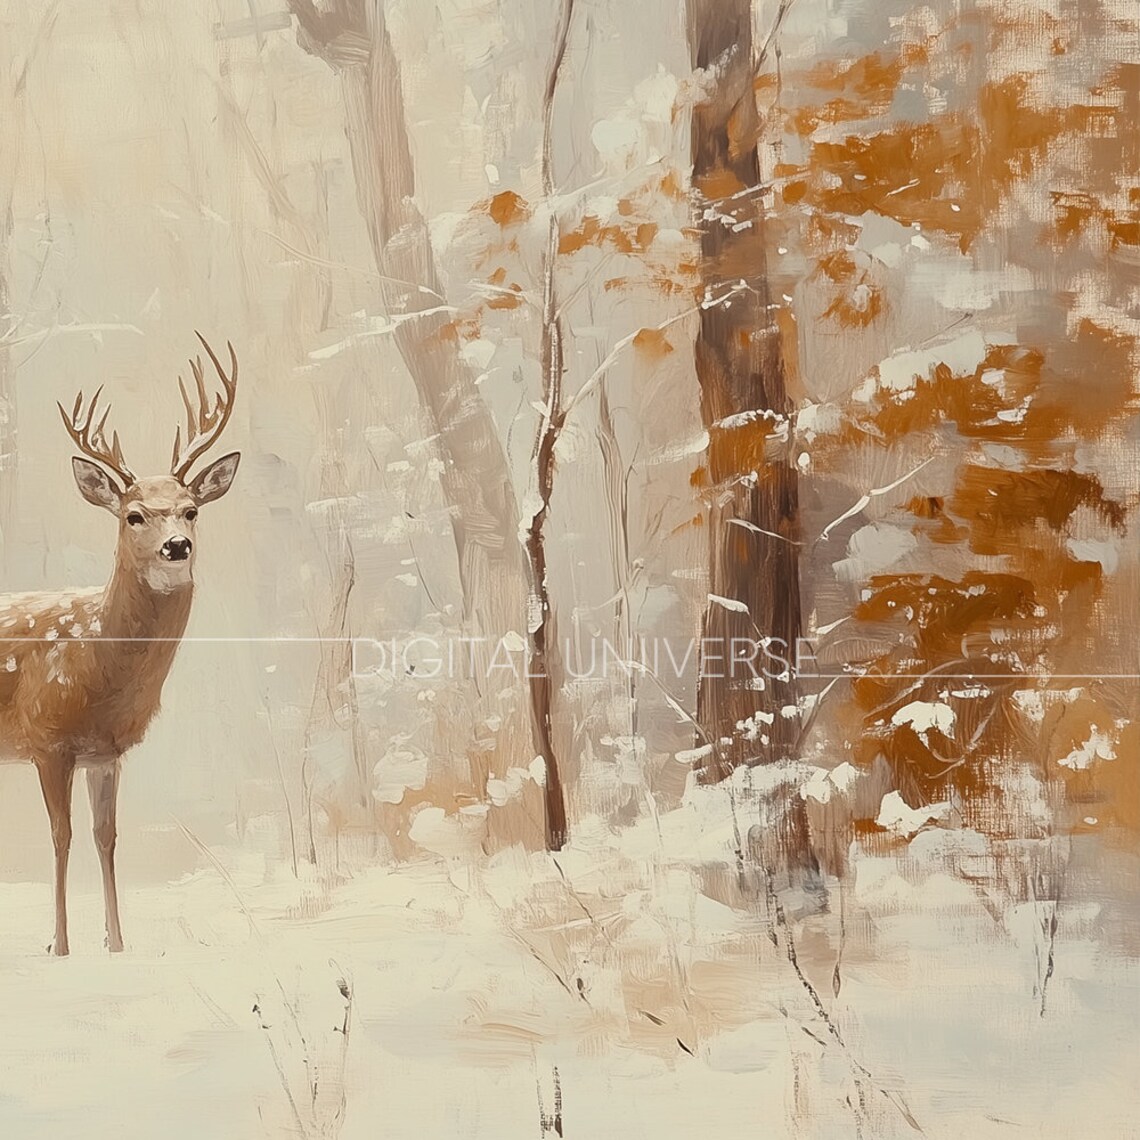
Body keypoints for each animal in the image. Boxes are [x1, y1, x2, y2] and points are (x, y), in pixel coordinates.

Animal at [0, 333, 240, 955]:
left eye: (191, 510)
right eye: (134, 515)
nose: (177, 546)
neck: (94, 660)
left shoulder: (104, 752)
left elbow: (105, 836)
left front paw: (116, 943)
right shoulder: (47, 738)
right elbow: (60, 836)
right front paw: (59, 946)